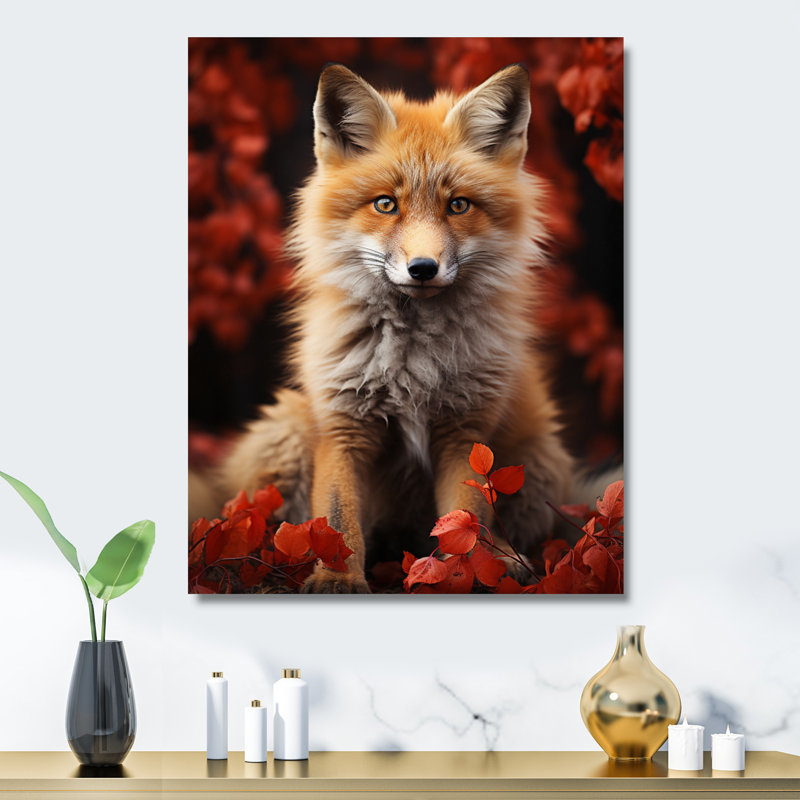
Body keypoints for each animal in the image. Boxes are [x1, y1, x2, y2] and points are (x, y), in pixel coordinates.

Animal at [219, 63, 574, 592]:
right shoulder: (344, 424)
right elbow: (337, 518)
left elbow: (468, 517)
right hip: (285, 430)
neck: (413, 362)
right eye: (385, 204)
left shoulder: (465, 433)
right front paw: (336, 576)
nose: (423, 268)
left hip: (542, 457)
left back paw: (507, 560)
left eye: (458, 206)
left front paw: (464, 573)